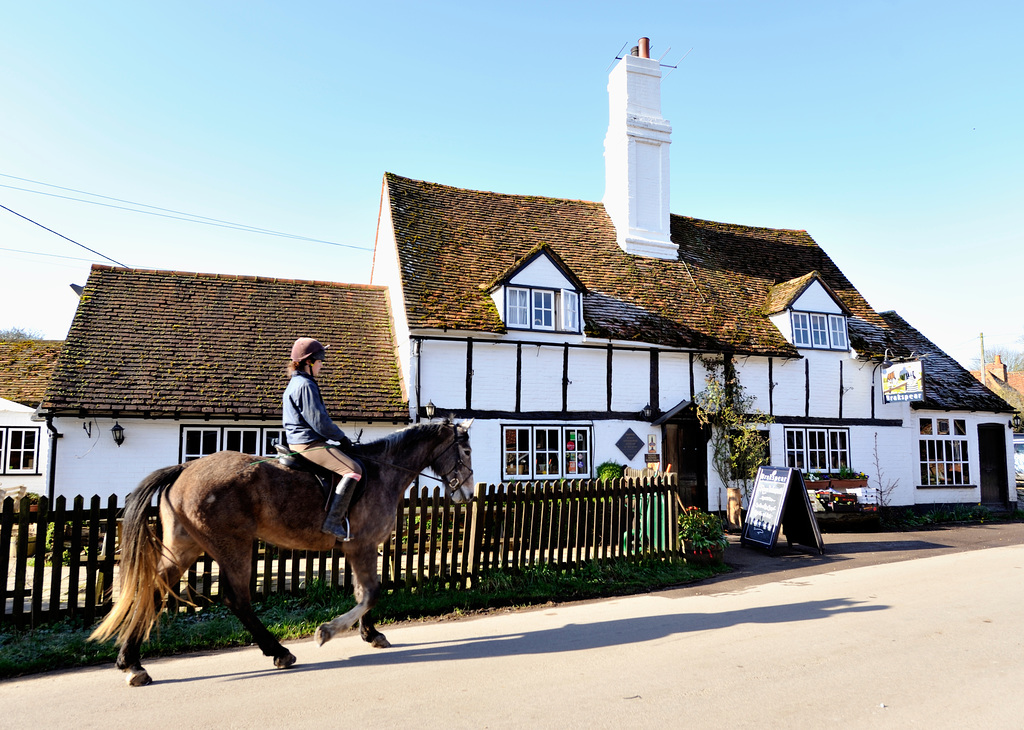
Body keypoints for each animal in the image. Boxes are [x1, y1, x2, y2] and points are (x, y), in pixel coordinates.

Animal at [90, 417, 473, 688]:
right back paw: (278, 651)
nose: (467, 492)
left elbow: (364, 593)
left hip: (185, 546)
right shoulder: (362, 546)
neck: (383, 471)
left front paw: (370, 634)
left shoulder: (359, 550)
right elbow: (371, 593)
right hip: (233, 546)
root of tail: (185, 468)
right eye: (466, 451)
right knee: (237, 600)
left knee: (154, 590)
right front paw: (328, 631)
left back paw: (132, 664)